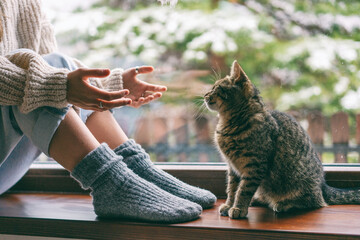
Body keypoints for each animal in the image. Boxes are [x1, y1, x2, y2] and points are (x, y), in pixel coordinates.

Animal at [204, 61, 360, 218]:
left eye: (216, 88)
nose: (205, 95)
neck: (228, 124)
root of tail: (322, 185)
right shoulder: (233, 168)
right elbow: (232, 189)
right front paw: (229, 204)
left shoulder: (255, 166)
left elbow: (243, 190)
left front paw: (238, 208)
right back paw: (257, 200)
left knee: (314, 202)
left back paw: (283, 204)